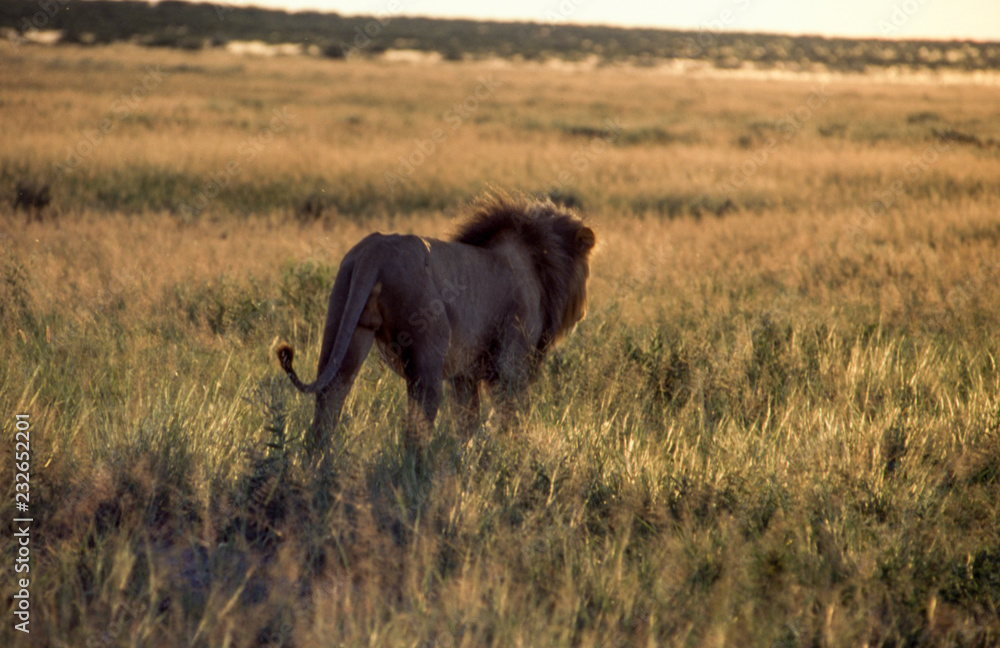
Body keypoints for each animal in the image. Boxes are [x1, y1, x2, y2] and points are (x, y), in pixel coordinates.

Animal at [275, 190, 596, 455]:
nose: (583, 312)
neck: (539, 261)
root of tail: (374, 250)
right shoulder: (512, 361)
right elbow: (511, 413)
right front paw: (513, 453)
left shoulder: (465, 373)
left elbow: (468, 420)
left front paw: (466, 455)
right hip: (429, 344)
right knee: (418, 418)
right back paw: (419, 468)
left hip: (345, 322)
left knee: (331, 396)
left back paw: (319, 459)